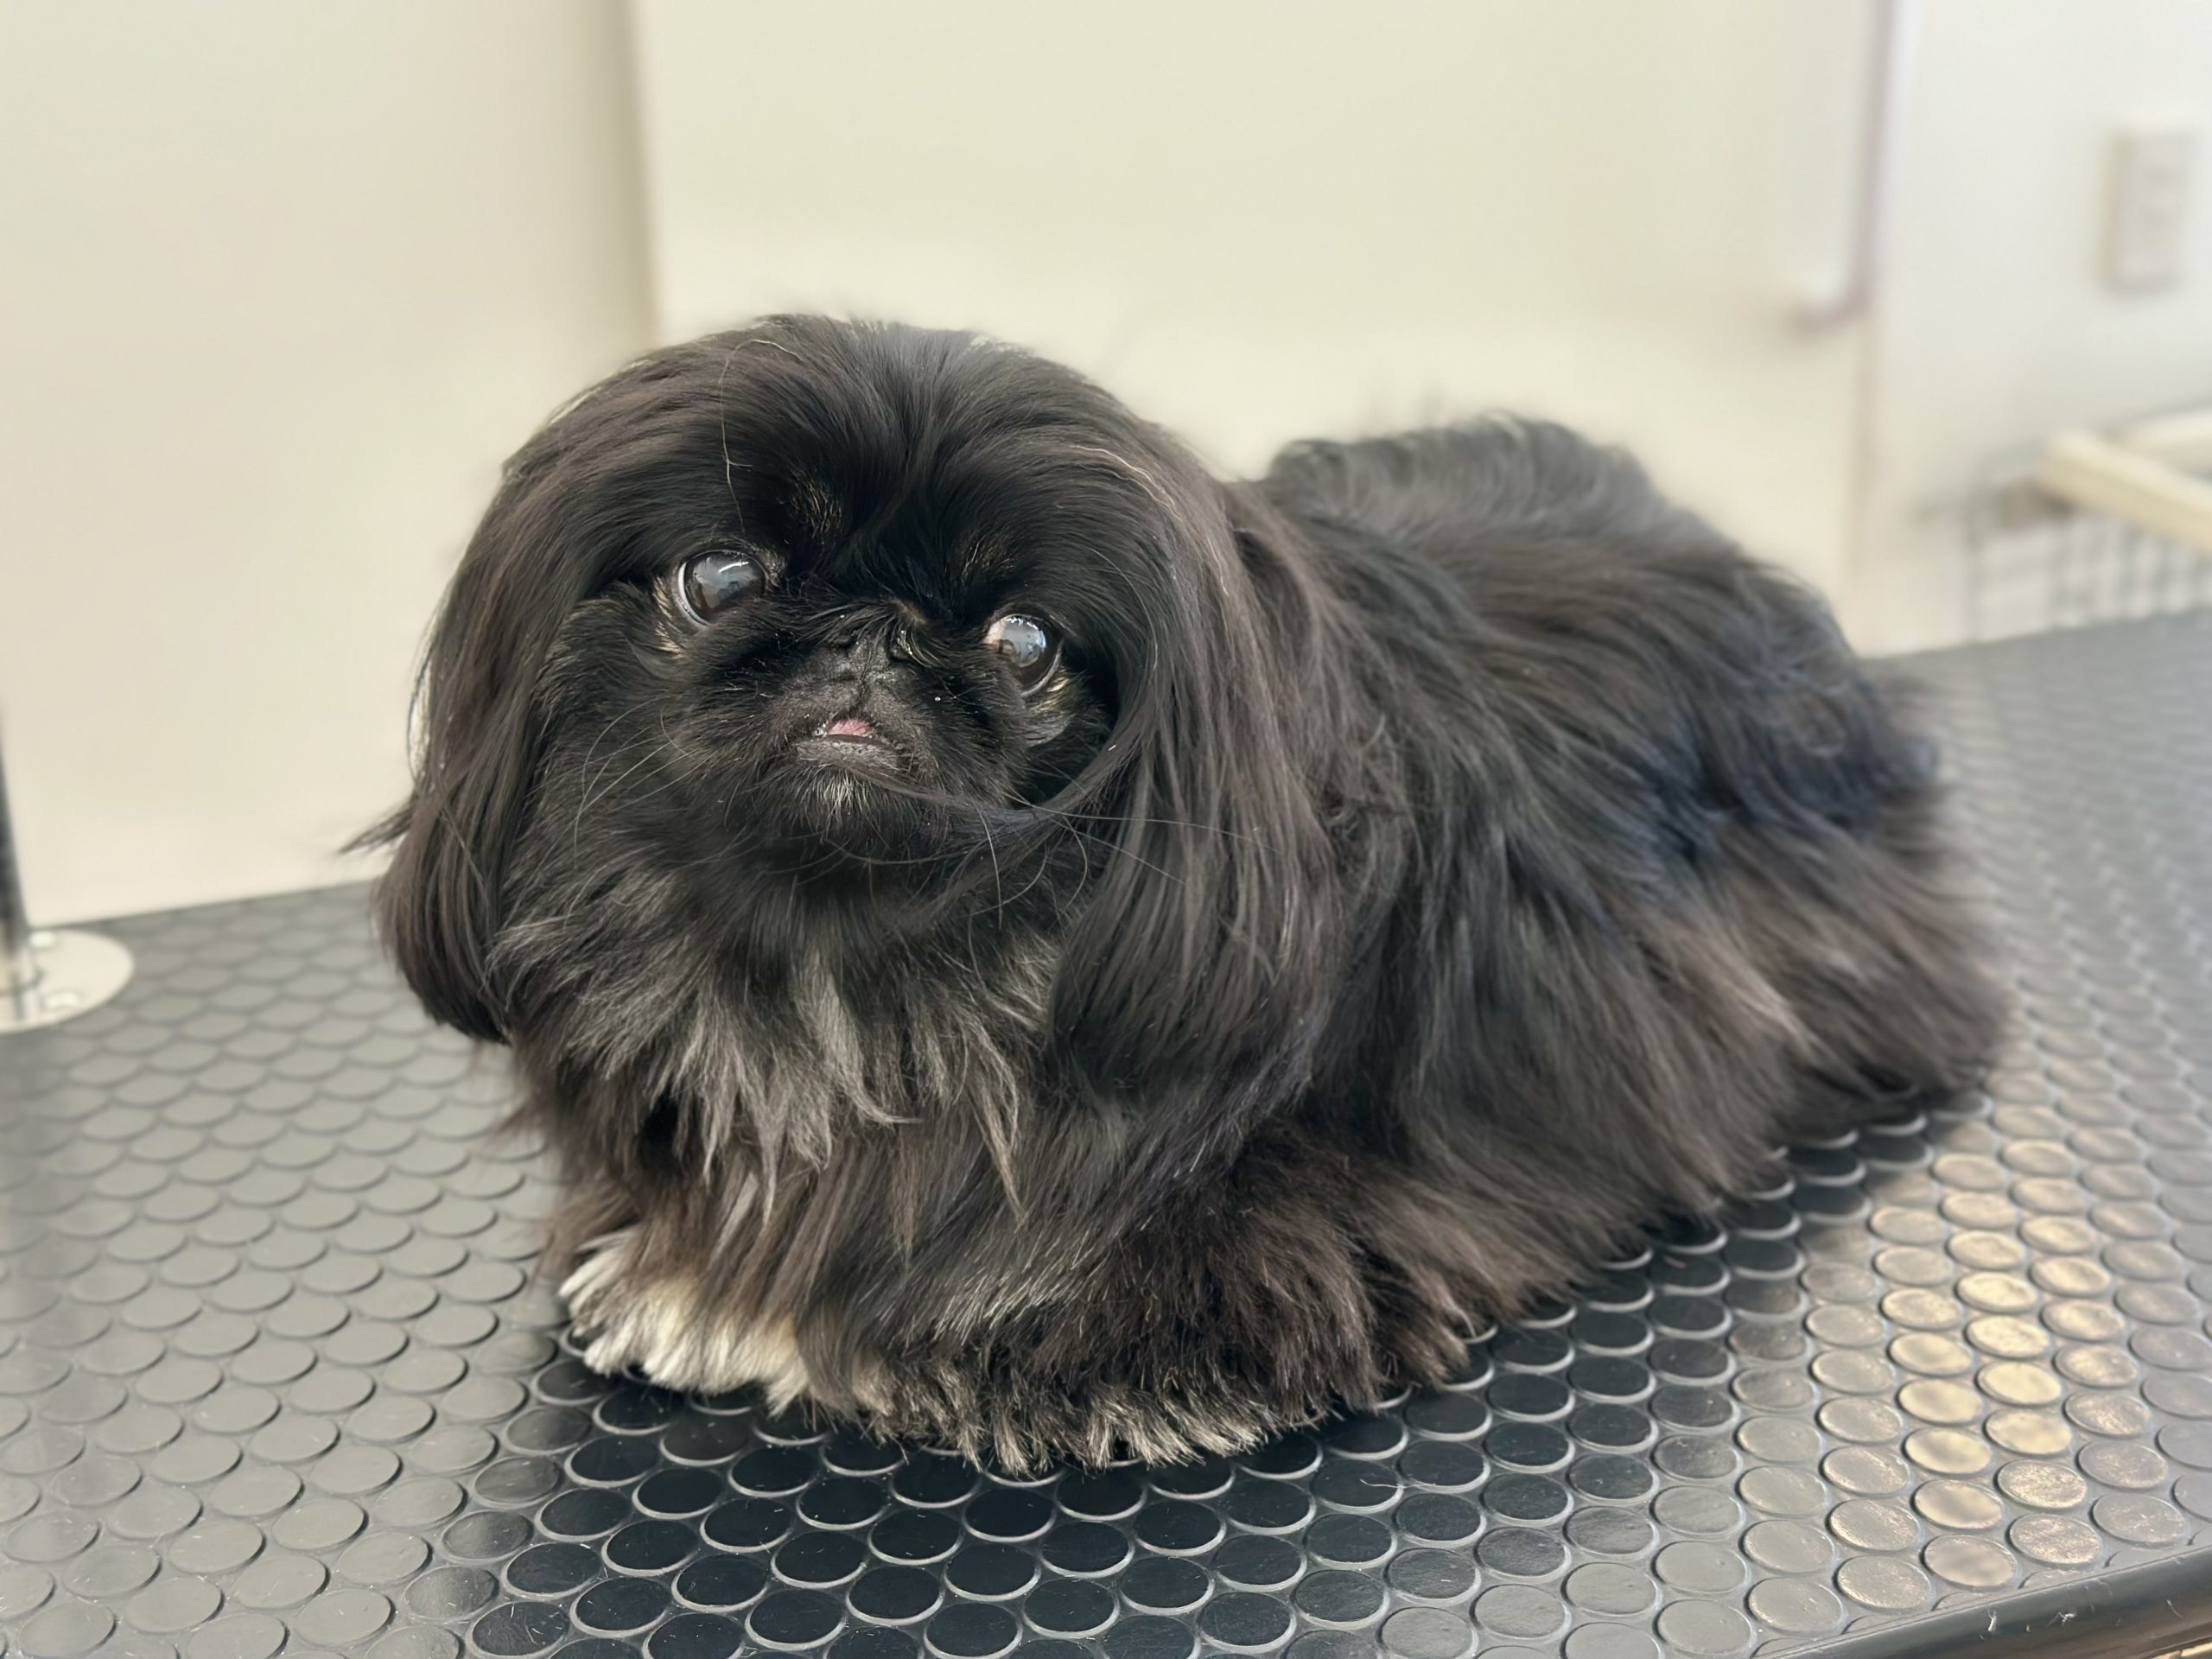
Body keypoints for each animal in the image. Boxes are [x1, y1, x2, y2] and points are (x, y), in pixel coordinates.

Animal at [369, 315, 1999, 1468]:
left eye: (1026, 645)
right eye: (719, 577)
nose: (868, 640)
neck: (857, 956)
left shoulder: (1287, 1256)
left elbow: (954, 1298)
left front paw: (739, 1301)